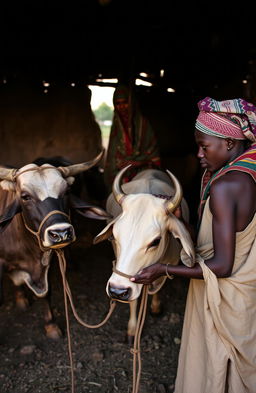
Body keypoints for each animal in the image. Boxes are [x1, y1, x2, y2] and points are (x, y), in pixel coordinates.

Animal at [94, 164, 194, 342]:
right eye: (114, 236)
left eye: (155, 241)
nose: (117, 291)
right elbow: (134, 301)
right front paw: (132, 330)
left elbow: (158, 287)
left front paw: (155, 307)